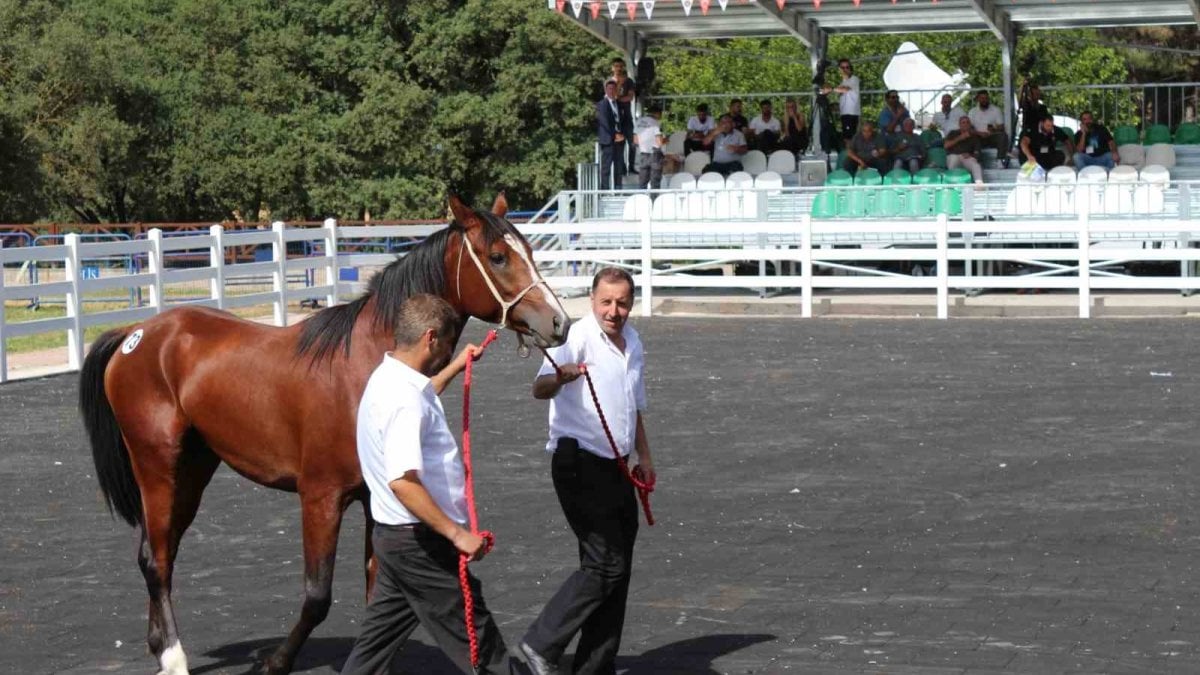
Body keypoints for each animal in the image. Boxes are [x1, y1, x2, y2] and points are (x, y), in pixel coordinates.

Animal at [76, 192, 571, 667]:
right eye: (497, 256)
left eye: (529, 250)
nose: (559, 322)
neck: (368, 364)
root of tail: (136, 333)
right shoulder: (320, 497)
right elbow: (317, 597)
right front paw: (275, 663)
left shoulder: (378, 499)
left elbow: (377, 590)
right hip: (157, 467)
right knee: (157, 561)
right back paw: (174, 656)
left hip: (193, 470)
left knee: (159, 553)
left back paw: (159, 645)